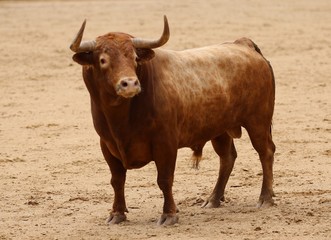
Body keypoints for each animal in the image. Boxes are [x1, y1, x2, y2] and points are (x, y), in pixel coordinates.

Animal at [70, 15, 278, 226]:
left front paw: (169, 214)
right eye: (103, 60)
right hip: (220, 129)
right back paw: (213, 199)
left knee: (265, 152)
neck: (122, 118)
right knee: (227, 158)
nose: (130, 83)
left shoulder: (165, 143)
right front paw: (117, 213)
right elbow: (117, 180)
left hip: (258, 121)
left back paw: (265, 198)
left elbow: (164, 179)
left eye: (135, 58)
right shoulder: (107, 145)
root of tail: (244, 44)